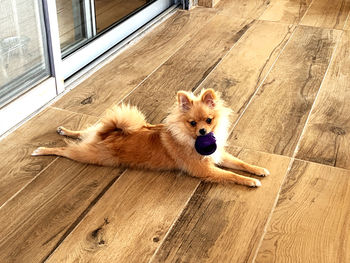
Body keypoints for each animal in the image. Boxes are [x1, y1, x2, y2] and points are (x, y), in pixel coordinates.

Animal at [32, 89, 268, 188]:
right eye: (193, 123)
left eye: (209, 120)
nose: (203, 132)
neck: (189, 138)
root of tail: (107, 134)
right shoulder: (205, 169)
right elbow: (231, 174)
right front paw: (250, 181)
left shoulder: (219, 155)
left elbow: (241, 163)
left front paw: (258, 170)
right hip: (88, 155)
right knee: (64, 150)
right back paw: (42, 150)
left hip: (93, 134)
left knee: (82, 133)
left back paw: (64, 130)